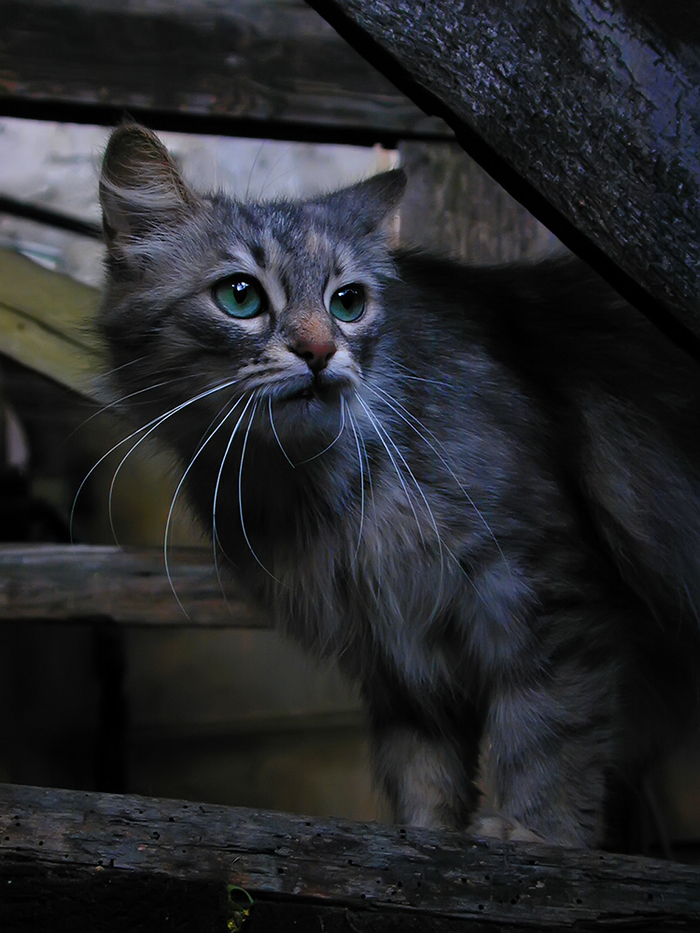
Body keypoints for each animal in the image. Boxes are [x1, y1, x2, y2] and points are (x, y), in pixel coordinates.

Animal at [95, 125, 700, 852]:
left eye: (347, 303)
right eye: (240, 296)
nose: (321, 352)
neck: (314, 495)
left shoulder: (548, 594)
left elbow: (547, 736)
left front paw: (533, 833)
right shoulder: (393, 654)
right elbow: (423, 773)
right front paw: (427, 837)